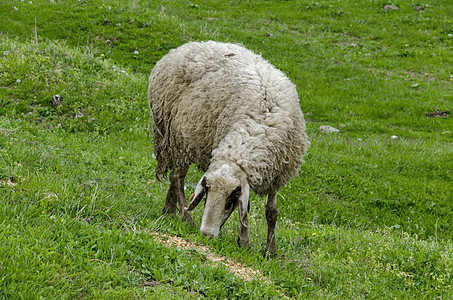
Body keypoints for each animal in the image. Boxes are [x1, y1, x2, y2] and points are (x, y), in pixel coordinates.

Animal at [148, 39, 308, 256]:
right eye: (207, 194)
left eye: (231, 200)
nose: (206, 235)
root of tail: (186, 46)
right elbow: (246, 209)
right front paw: (245, 242)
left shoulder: (277, 174)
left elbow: (271, 212)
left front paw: (270, 252)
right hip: (179, 137)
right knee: (176, 178)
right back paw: (185, 217)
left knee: (175, 178)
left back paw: (169, 211)